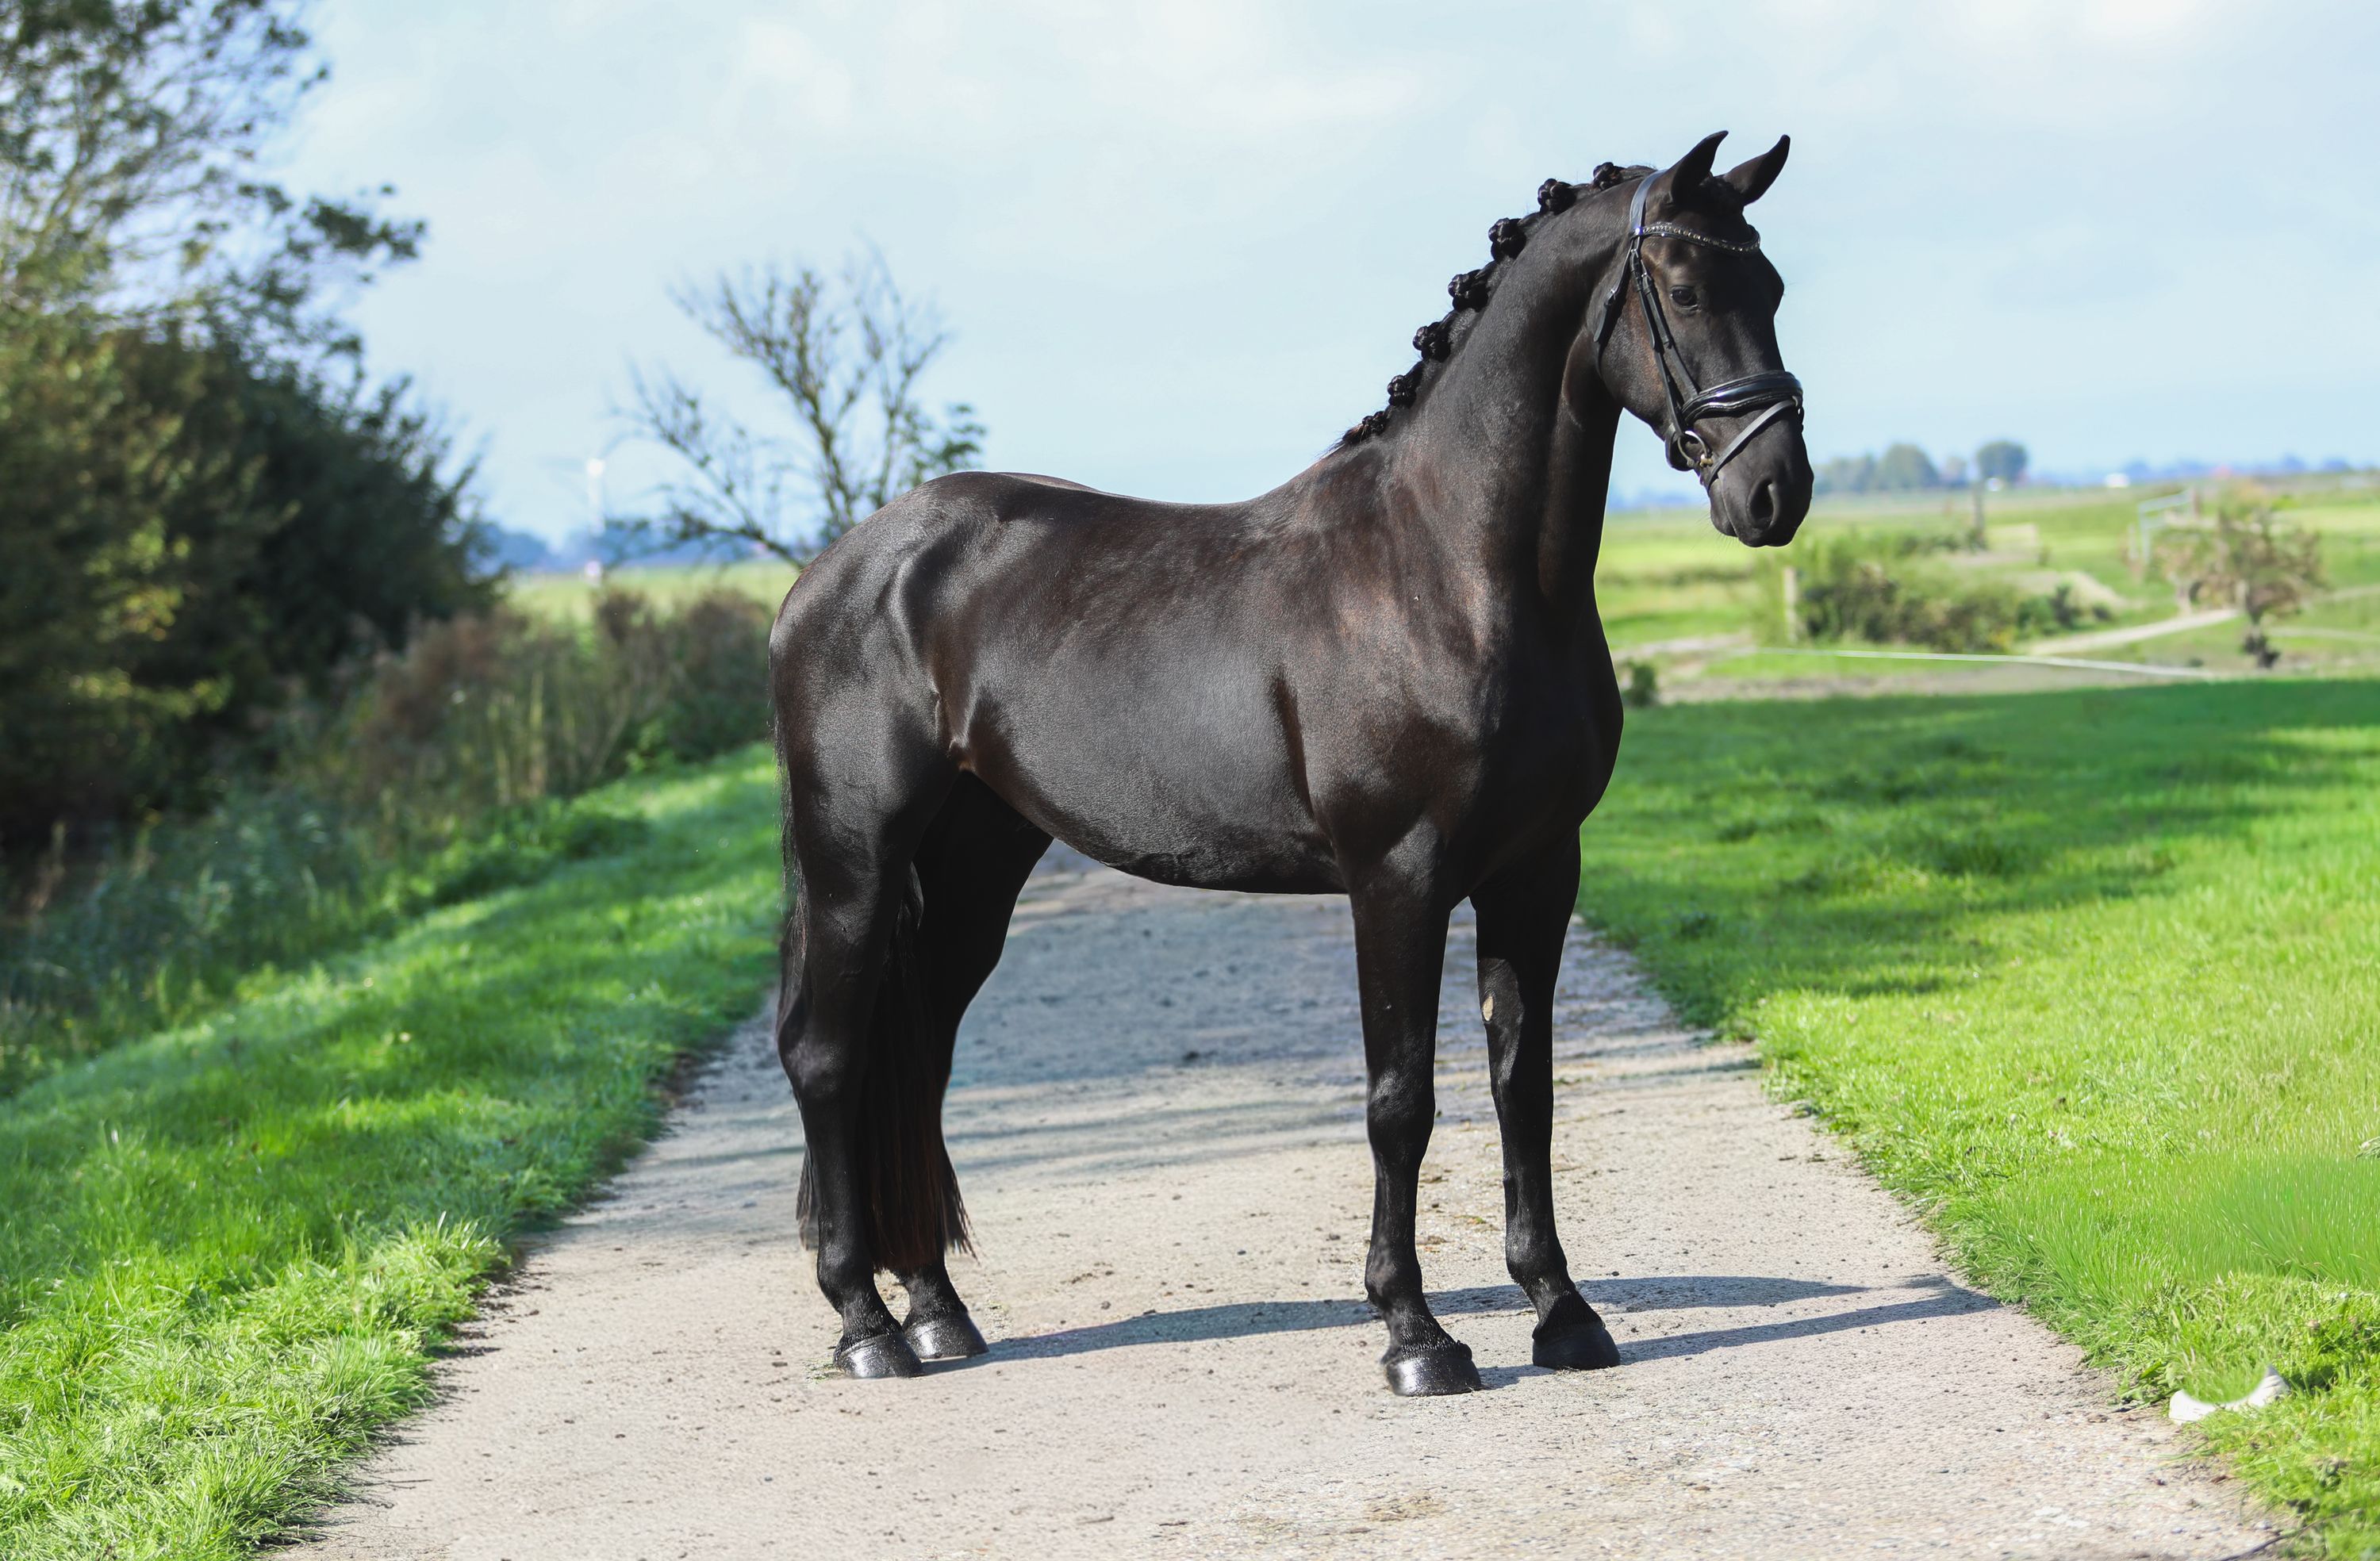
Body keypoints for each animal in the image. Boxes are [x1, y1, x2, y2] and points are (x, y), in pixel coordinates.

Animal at [770, 130, 1812, 1396]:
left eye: (1772, 288)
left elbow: (1525, 1087)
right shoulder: (1397, 880)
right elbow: (1401, 1101)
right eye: (1687, 290)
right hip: (856, 863)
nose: (1775, 492)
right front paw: (1416, 1335)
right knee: (828, 1057)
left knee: (913, 1062)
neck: (1451, 572)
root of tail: (838, 571)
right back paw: (864, 1323)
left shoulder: (1538, 873)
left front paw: (1562, 1313)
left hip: (972, 871)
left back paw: (935, 1310)